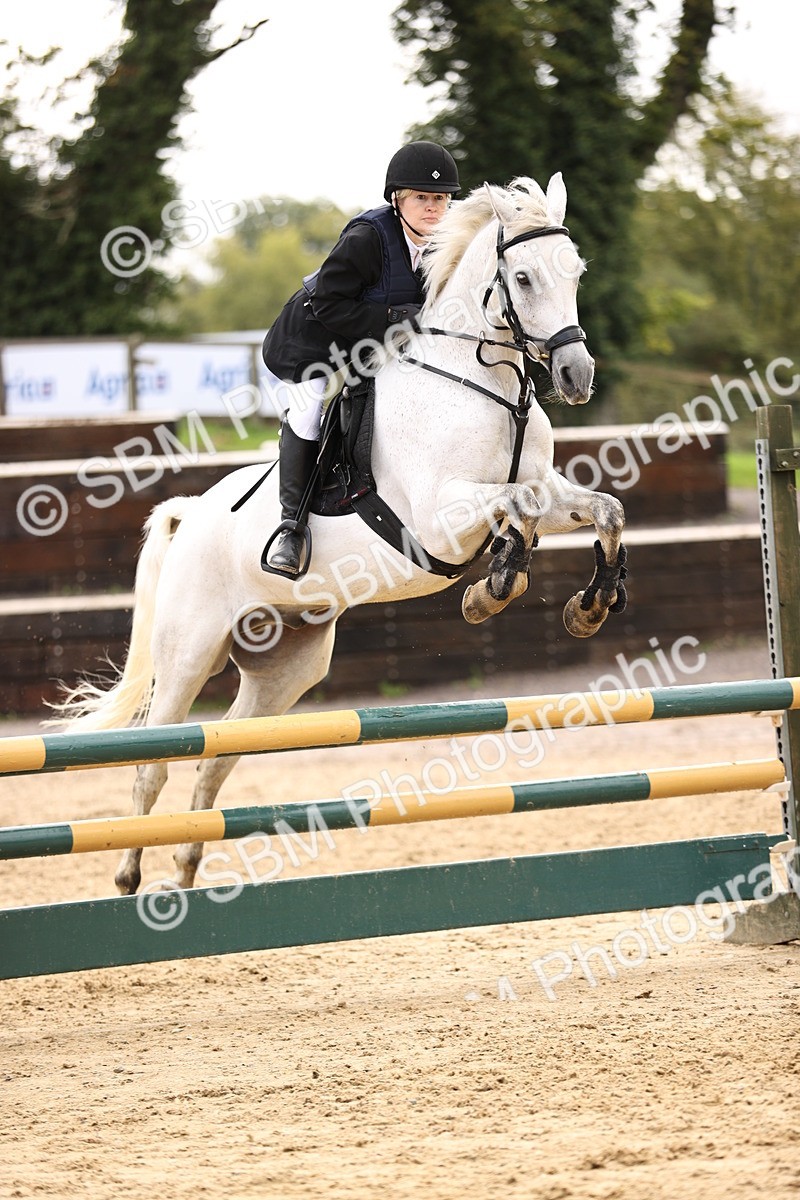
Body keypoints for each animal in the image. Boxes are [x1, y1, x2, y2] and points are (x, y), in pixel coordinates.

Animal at [53, 172, 626, 896]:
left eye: (575, 271)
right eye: (522, 278)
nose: (578, 378)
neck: (482, 381)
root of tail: (190, 517)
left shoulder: (545, 492)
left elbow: (602, 510)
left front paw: (589, 605)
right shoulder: (439, 516)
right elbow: (514, 508)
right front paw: (493, 587)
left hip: (283, 670)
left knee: (215, 759)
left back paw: (184, 871)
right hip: (189, 653)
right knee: (152, 761)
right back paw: (129, 875)